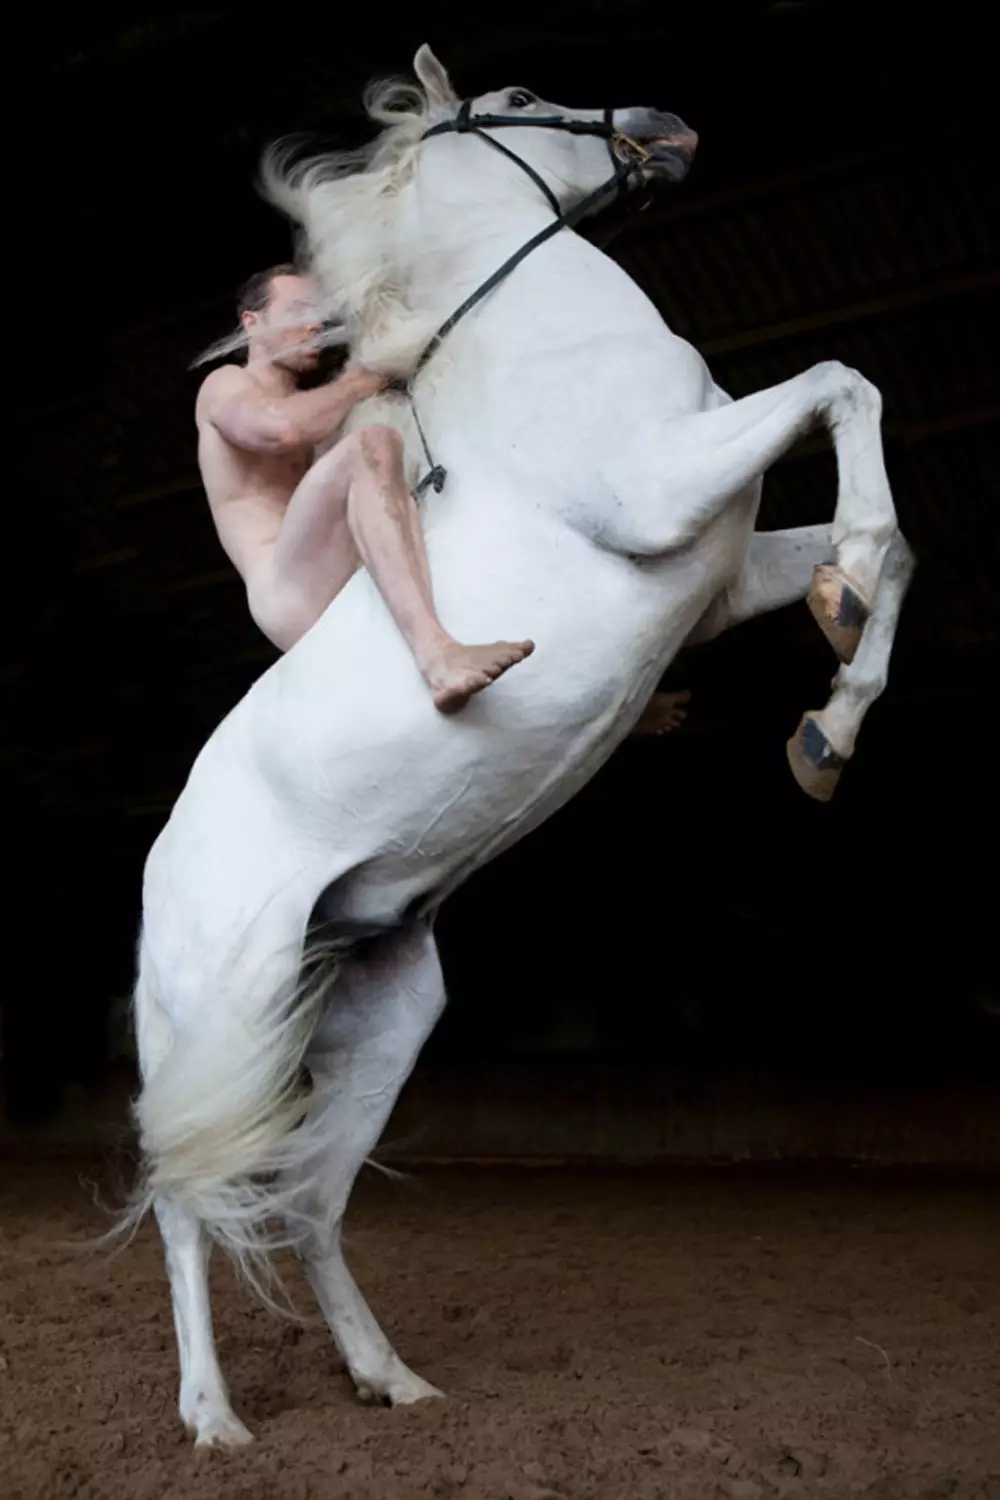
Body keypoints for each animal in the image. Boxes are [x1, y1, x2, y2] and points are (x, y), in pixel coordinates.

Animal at [131, 43, 917, 1440]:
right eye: (513, 102)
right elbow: (843, 385)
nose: (667, 123)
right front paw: (843, 633)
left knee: (308, 1199)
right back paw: (213, 1421)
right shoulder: (663, 491)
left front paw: (826, 725)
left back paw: (391, 1381)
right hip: (221, 1021)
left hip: (381, 1008)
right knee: (187, 1197)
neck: (542, 354)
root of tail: (158, 869)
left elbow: (885, 545)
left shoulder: (719, 573)